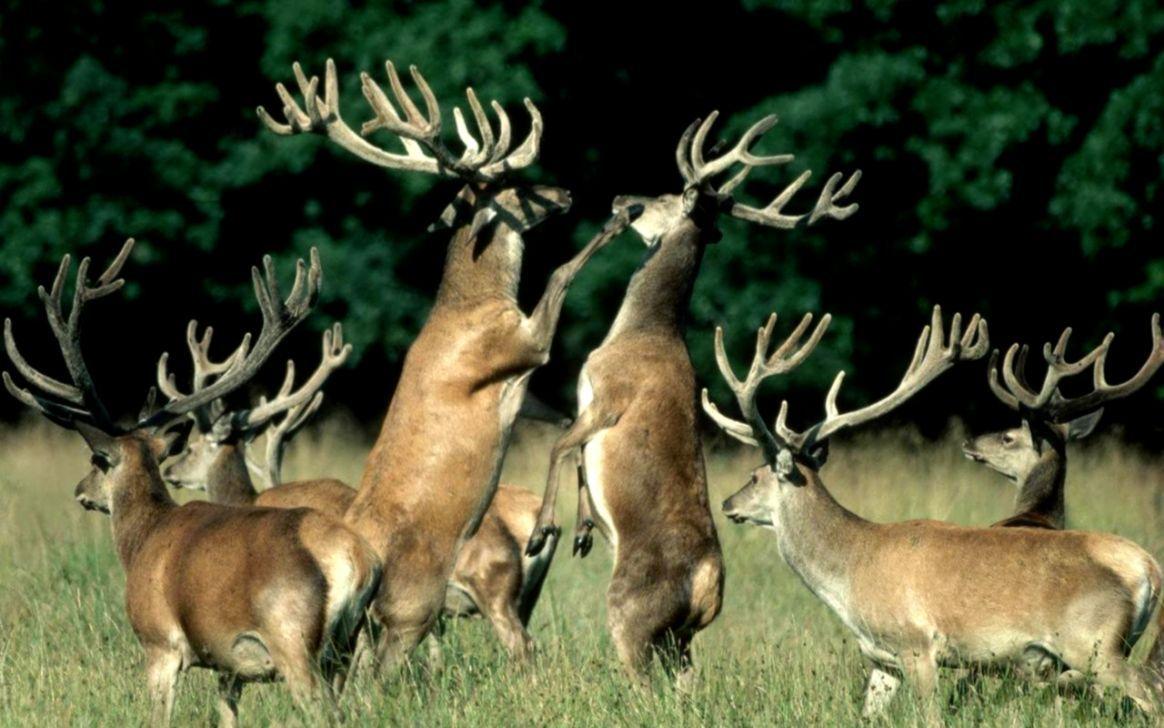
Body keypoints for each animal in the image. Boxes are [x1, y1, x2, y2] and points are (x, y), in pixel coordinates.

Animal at [2, 239, 382, 727]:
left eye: (96, 460)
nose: (80, 490)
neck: (141, 540)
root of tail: (358, 560)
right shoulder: (227, 663)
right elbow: (227, 713)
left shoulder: (159, 642)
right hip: (345, 648)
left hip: (294, 639)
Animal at [161, 324, 560, 659]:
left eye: (192, 447)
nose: (168, 470)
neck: (248, 499)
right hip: (525, 595)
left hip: (493, 591)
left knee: (523, 646)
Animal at [259, 58, 630, 667]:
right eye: (509, 186)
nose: (566, 191)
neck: (473, 307)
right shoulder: (518, 345)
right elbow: (559, 274)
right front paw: (618, 220)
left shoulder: (521, 388)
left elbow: (564, 424)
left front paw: (576, 528)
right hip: (415, 602)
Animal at [521, 111, 860, 683]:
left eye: (665, 193)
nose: (621, 196)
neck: (640, 331)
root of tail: (705, 586)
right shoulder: (588, 402)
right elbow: (574, 455)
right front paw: (583, 529)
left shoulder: (608, 396)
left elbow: (560, 446)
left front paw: (544, 530)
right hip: (678, 642)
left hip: (630, 615)